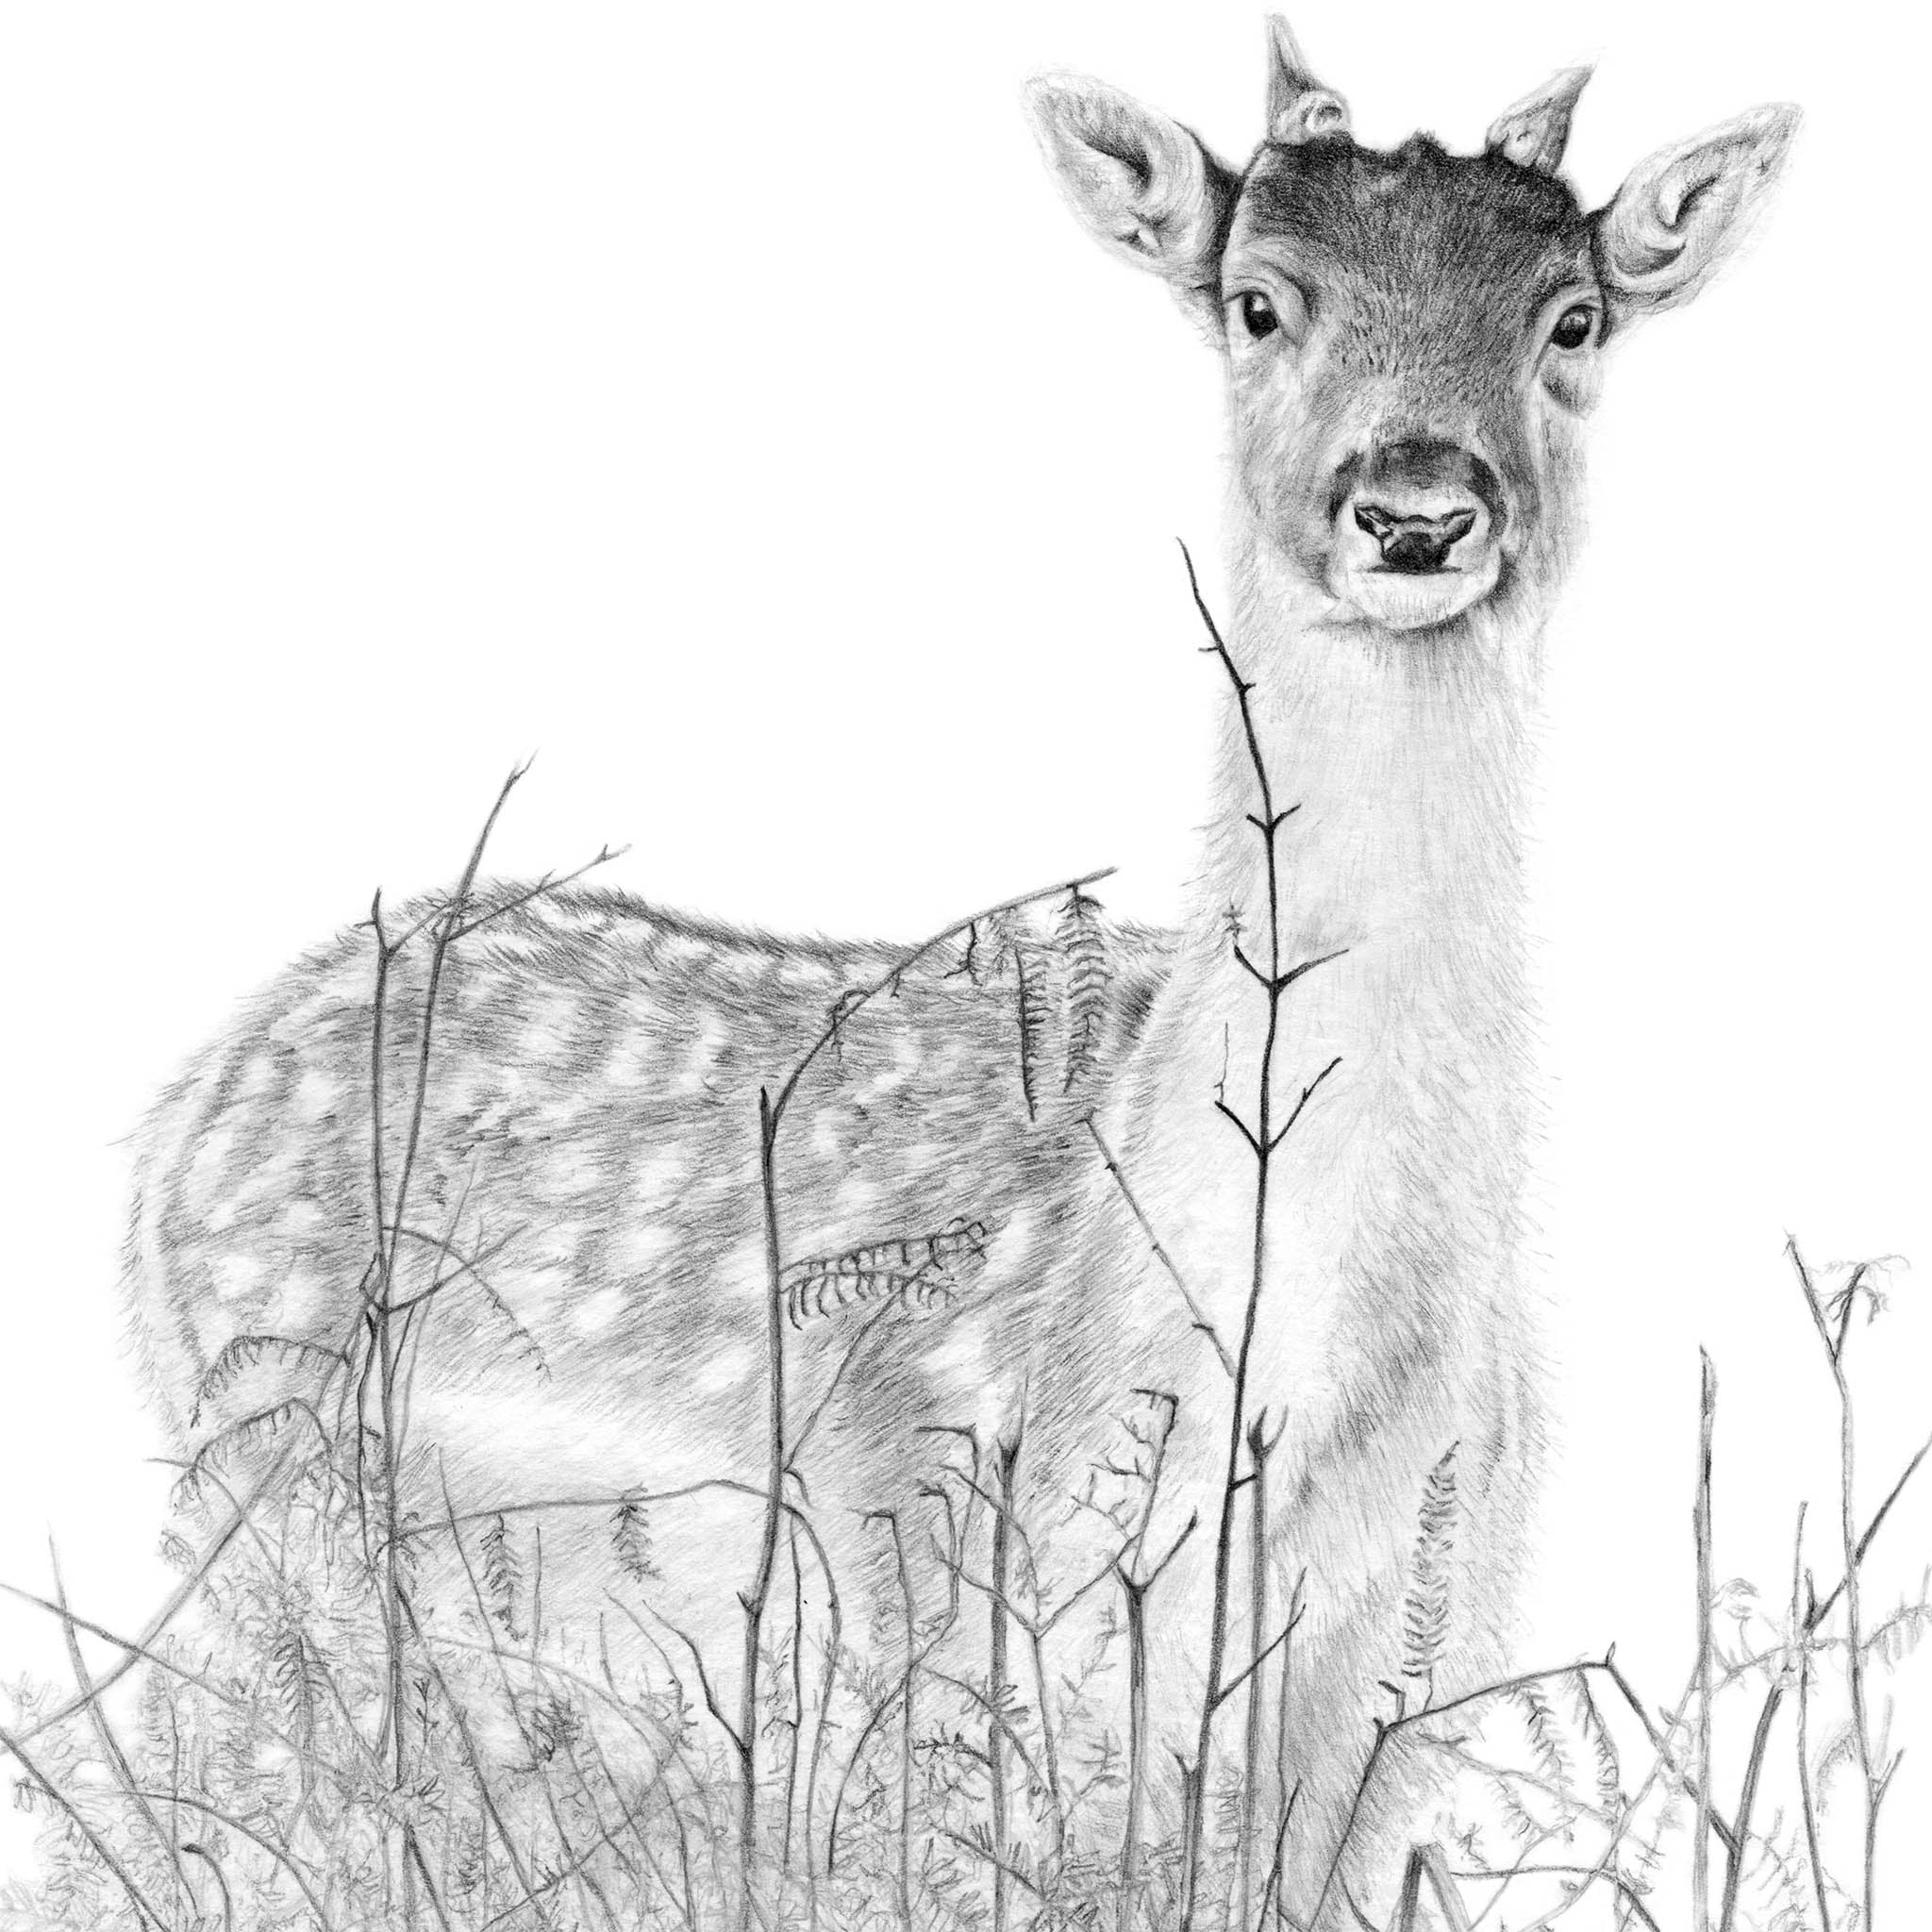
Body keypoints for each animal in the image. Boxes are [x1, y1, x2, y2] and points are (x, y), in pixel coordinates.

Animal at [121, 18, 1796, 1929]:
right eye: (1257, 300)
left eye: (1571, 317)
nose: (1417, 513)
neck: (1300, 1379)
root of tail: (182, 1113)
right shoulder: (969, 1583)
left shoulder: (1403, 1648)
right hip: (288, 1496)